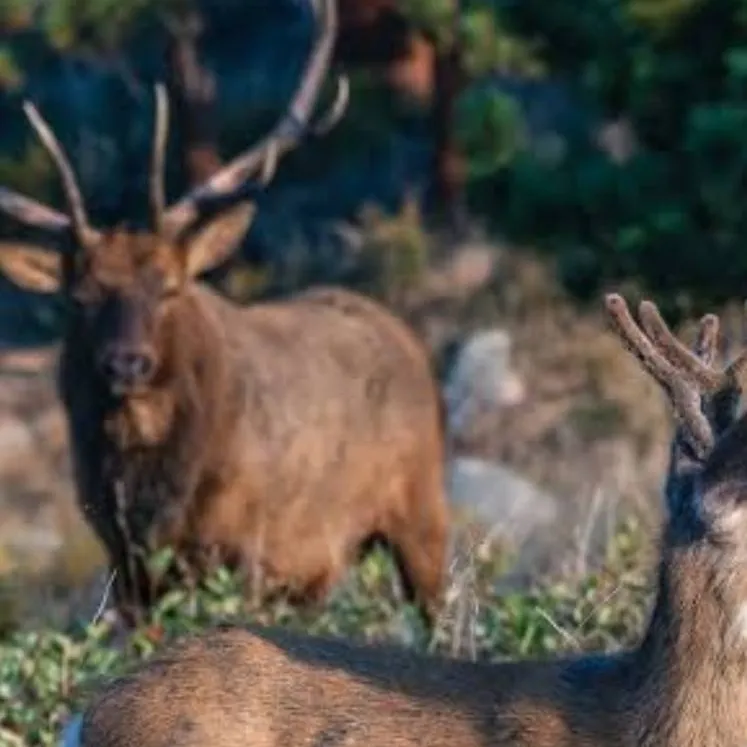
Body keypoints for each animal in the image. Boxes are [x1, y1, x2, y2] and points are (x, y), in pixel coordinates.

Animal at [0, 0, 450, 631]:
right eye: (80, 297)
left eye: (169, 288)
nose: (126, 364)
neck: (154, 484)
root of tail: (401, 332)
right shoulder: (126, 562)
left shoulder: (246, 547)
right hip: (318, 568)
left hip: (421, 506)